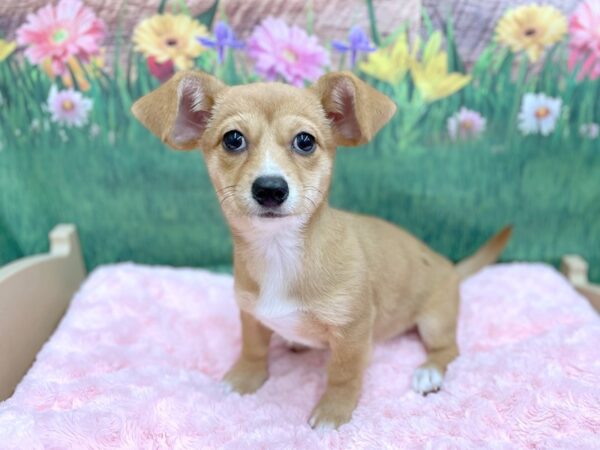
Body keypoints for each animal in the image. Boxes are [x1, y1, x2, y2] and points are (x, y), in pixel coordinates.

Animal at [132, 69, 510, 428]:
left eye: (305, 141)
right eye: (233, 139)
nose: (270, 189)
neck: (280, 252)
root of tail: (451, 267)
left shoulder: (352, 332)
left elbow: (343, 374)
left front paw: (333, 411)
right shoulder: (251, 314)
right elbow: (253, 348)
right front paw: (245, 378)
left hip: (435, 320)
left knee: (448, 349)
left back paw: (428, 372)